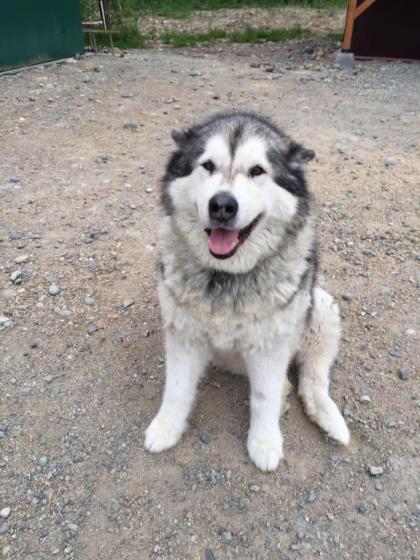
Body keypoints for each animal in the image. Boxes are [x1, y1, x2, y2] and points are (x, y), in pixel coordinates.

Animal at [146, 111, 350, 470]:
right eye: (207, 165)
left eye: (257, 171)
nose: (222, 205)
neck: (228, 276)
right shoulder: (183, 334)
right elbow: (177, 388)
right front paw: (166, 428)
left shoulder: (270, 346)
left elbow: (263, 397)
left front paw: (264, 442)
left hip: (321, 310)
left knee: (312, 379)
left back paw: (329, 418)